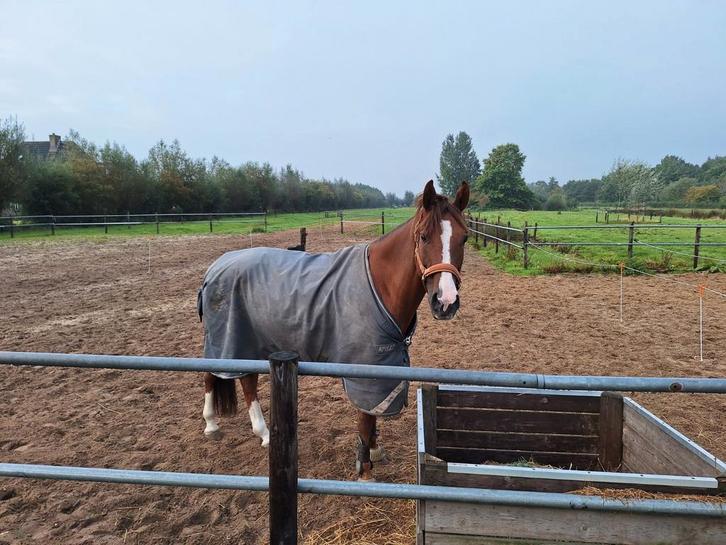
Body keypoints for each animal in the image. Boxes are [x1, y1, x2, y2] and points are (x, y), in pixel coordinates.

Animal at [197, 179, 469, 480]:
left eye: (464, 238)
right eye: (423, 237)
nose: (445, 301)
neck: (380, 285)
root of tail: (215, 268)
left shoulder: (381, 368)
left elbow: (372, 413)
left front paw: (374, 450)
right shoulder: (365, 368)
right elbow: (365, 418)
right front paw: (365, 470)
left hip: (249, 341)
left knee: (244, 380)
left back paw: (258, 432)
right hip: (228, 338)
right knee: (213, 374)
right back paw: (218, 426)